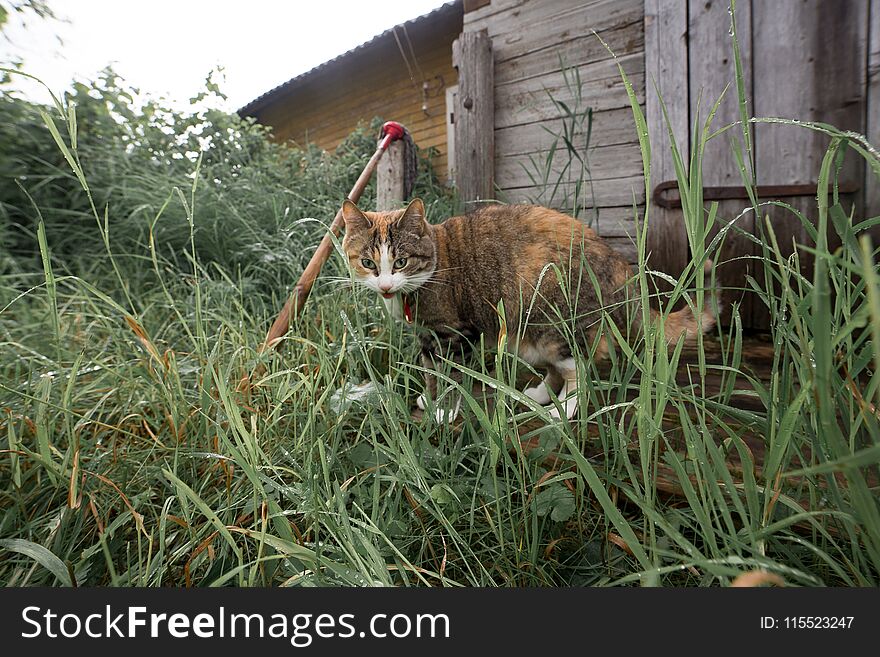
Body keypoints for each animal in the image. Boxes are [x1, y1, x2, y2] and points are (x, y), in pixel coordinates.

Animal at [338, 197, 716, 420]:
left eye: (400, 261)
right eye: (368, 262)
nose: (386, 286)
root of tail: (615, 258)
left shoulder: (455, 336)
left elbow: (451, 377)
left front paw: (444, 409)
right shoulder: (428, 338)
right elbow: (432, 373)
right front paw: (430, 401)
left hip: (553, 322)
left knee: (579, 369)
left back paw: (565, 408)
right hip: (527, 334)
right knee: (556, 368)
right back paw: (541, 393)